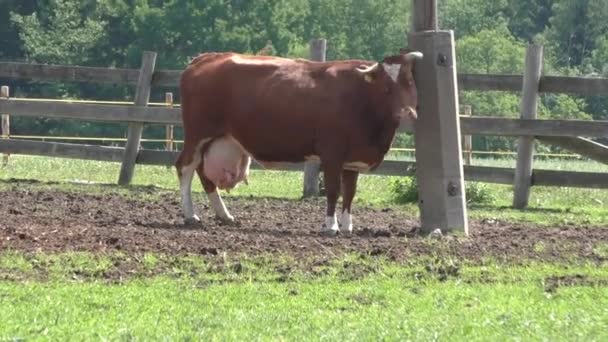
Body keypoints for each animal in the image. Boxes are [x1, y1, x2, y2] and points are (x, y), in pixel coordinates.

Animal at [176, 49, 422, 235]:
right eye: (386, 87)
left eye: (409, 81)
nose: (407, 113)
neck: (361, 97)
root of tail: (206, 58)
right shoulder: (332, 154)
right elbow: (333, 191)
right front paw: (331, 226)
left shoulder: (352, 159)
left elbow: (350, 193)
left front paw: (347, 226)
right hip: (197, 135)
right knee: (185, 168)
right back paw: (190, 215)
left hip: (217, 139)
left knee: (203, 173)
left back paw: (224, 214)